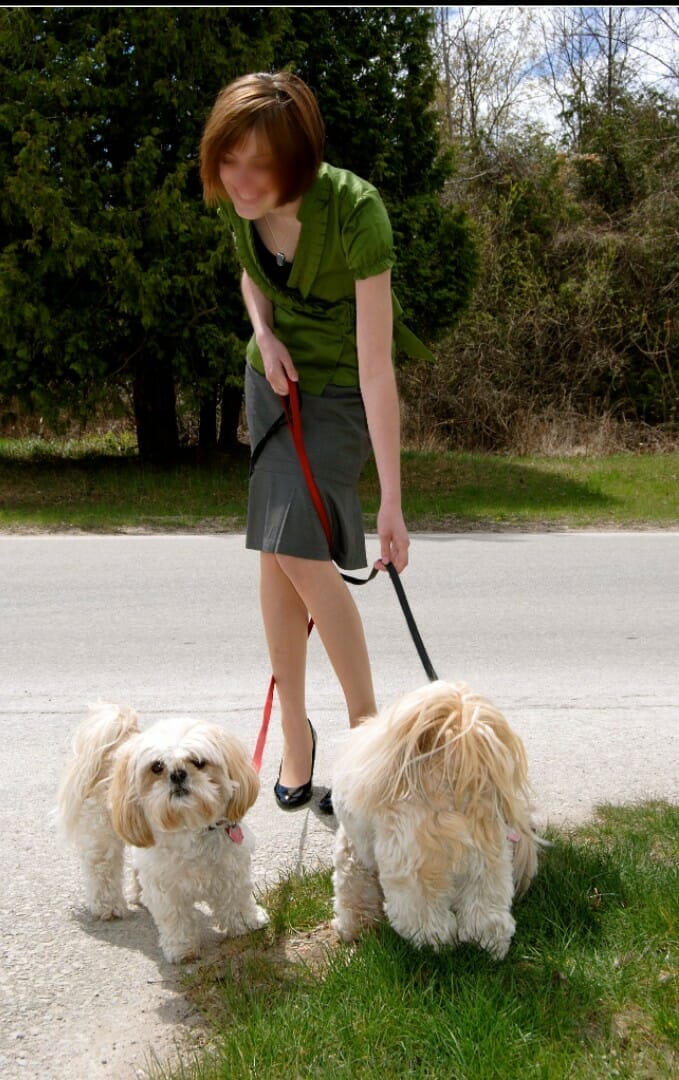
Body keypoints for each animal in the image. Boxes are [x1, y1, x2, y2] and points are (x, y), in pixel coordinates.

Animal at [56, 704, 267, 967]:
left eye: (198, 762)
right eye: (157, 767)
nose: (177, 774)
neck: (191, 825)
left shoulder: (232, 868)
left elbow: (237, 898)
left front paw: (247, 923)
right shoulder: (165, 886)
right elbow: (175, 917)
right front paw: (182, 949)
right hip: (101, 836)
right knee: (101, 870)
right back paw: (108, 906)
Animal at [330, 678, 541, 959]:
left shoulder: (353, 857)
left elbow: (350, 892)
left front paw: (350, 927)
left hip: (414, 870)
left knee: (428, 922)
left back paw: (434, 950)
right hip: (488, 863)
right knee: (487, 917)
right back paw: (487, 949)